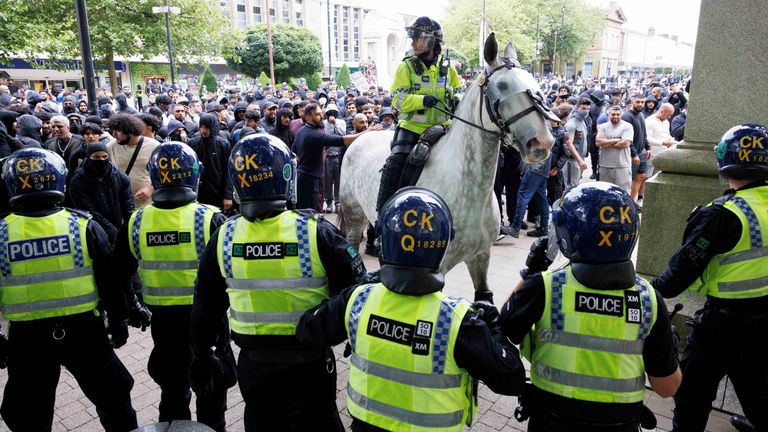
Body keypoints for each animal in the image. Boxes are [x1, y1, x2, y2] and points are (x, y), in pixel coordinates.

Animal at [340, 34, 556, 300]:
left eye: (534, 82)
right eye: (503, 86)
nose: (542, 143)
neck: (469, 190)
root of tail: (361, 135)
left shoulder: (480, 257)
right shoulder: (432, 269)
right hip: (353, 213)